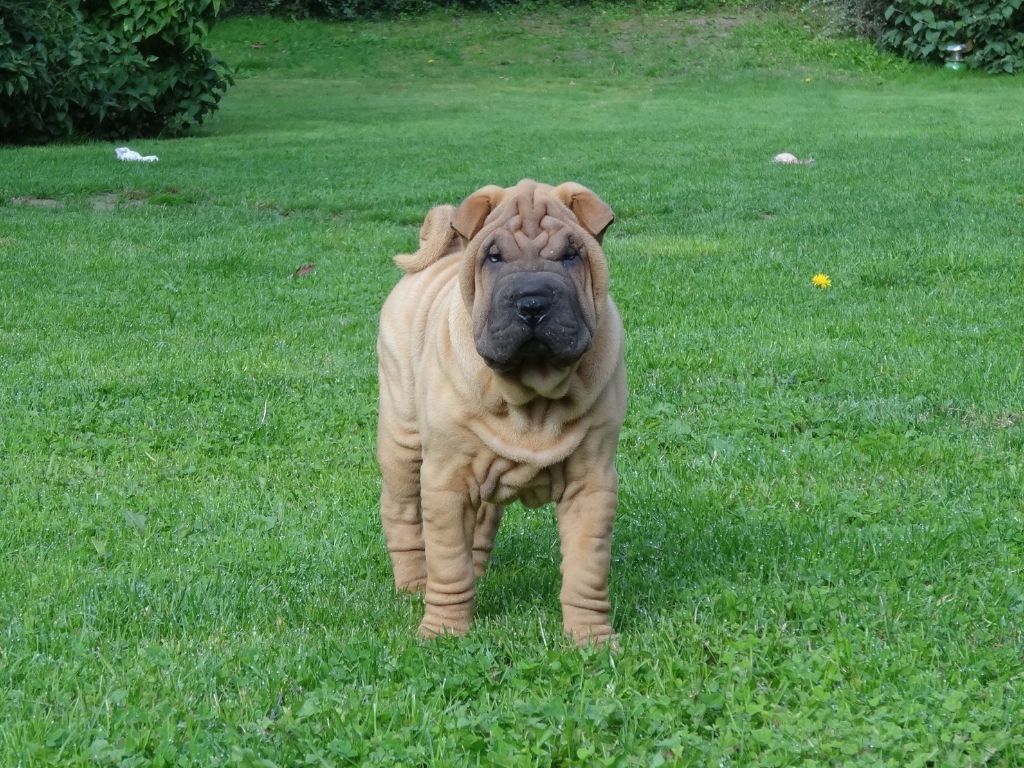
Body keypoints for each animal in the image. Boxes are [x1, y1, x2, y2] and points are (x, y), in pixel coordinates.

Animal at [376, 179, 626, 644]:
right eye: (493, 257)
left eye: (571, 255)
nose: (532, 303)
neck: (531, 392)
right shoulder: (445, 481)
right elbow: (447, 562)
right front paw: (442, 632)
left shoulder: (593, 482)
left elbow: (587, 567)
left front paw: (591, 638)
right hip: (402, 441)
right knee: (401, 514)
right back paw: (413, 584)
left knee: (482, 521)